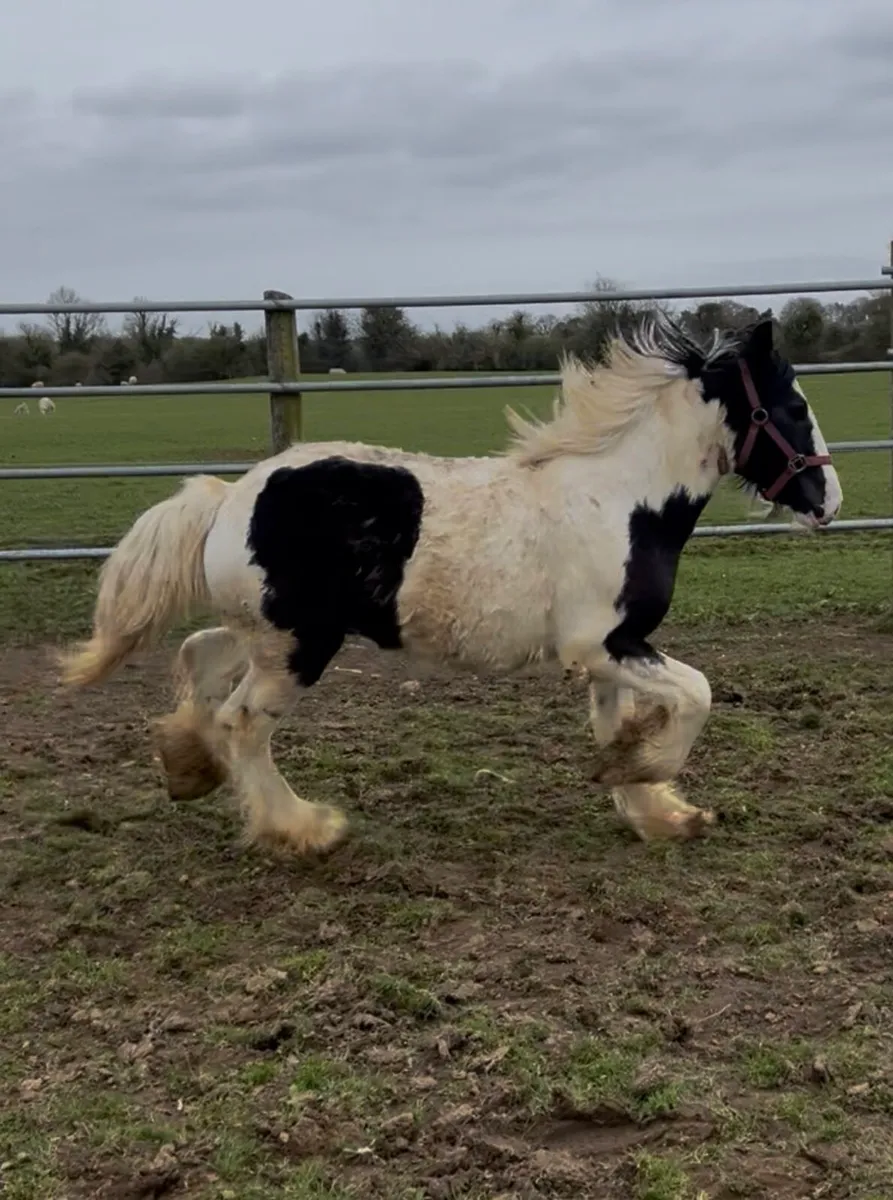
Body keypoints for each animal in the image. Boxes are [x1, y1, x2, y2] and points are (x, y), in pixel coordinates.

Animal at [59, 311, 842, 854]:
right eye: (792, 408)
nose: (829, 501)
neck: (623, 500)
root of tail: (227, 498)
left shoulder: (612, 652)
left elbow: (621, 724)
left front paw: (655, 804)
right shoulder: (600, 644)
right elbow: (698, 694)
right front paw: (644, 780)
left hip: (270, 632)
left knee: (198, 657)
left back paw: (186, 768)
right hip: (296, 649)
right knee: (243, 722)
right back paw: (304, 829)